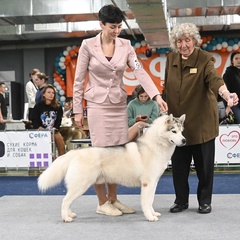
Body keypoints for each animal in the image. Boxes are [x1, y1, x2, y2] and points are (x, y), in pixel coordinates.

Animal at [38, 113, 187, 222]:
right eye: (174, 131)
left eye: (181, 131)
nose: (184, 140)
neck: (156, 145)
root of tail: (76, 152)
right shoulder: (147, 184)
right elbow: (146, 202)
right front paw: (150, 217)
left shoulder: (153, 183)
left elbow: (150, 201)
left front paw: (154, 213)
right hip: (81, 185)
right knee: (65, 201)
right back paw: (66, 218)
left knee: (68, 201)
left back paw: (70, 214)